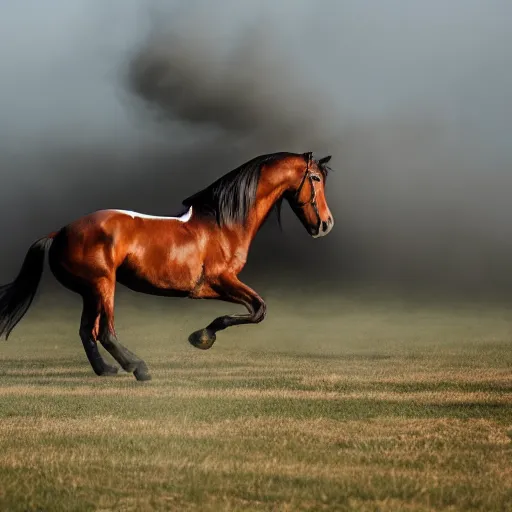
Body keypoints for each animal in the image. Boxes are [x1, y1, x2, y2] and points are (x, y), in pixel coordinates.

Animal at [0, 151, 332, 380]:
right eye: (315, 179)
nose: (326, 224)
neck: (222, 222)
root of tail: (60, 232)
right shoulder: (221, 280)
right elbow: (259, 309)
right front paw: (201, 337)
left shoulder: (214, 288)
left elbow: (256, 309)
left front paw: (203, 335)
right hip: (102, 285)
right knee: (105, 332)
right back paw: (138, 368)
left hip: (90, 292)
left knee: (87, 331)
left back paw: (106, 370)